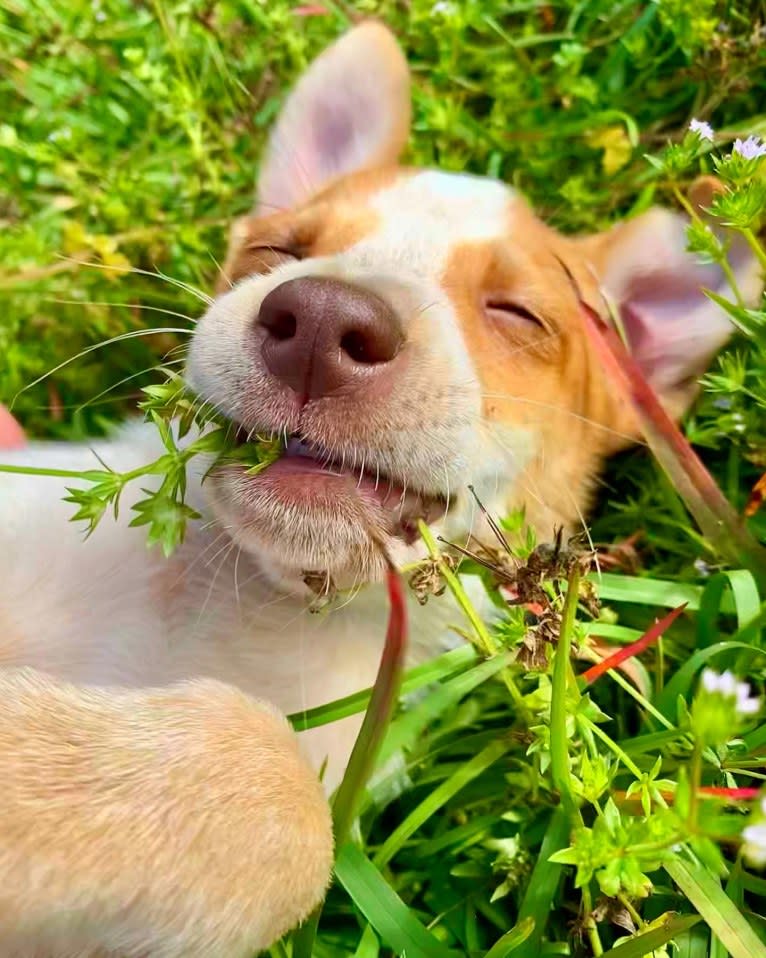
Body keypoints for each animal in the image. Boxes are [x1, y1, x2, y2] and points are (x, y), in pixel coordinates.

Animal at [0, 16, 760, 958]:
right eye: (279, 251)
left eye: (517, 314)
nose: (321, 320)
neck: (239, 605)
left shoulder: (329, 749)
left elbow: (286, 800)